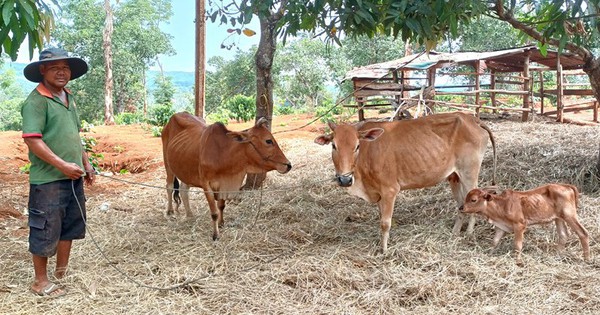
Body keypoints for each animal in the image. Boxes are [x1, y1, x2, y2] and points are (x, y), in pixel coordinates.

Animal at [159, 113, 290, 242]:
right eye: (268, 141)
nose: (288, 165)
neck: (222, 153)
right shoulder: (206, 185)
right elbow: (214, 212)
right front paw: (215, 235)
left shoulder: (223, 184)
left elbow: (221, 206)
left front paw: (221, 224)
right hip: (168, 164)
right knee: (169, 186)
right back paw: (170, 211)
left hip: (185, 171)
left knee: (183, 190)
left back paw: (190, 215)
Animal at [314, 112, 496, 253]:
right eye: (333, 145)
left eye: (357, 146)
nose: (344, 179)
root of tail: (471, 118)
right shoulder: (379, 194)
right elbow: (381, 218)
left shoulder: (390, 190)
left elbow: (385, 223)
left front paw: (384, 250)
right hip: (454, 176)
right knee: (461, 205)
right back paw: (454, 233)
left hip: (469, 172)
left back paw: (469, 232)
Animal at [464, 184, 592, 266]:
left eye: (473, 200)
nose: (461, 208)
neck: (502, 205)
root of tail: (566, 186)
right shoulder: (501, 227)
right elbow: (494, 242)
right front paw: (489, 253)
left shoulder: (520, 225)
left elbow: (517, 245)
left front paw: (518, 261)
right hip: (558, 218)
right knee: (563, 234)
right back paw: (557, 255)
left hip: (569, 216)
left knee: (583, 233)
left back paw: (587, 259)